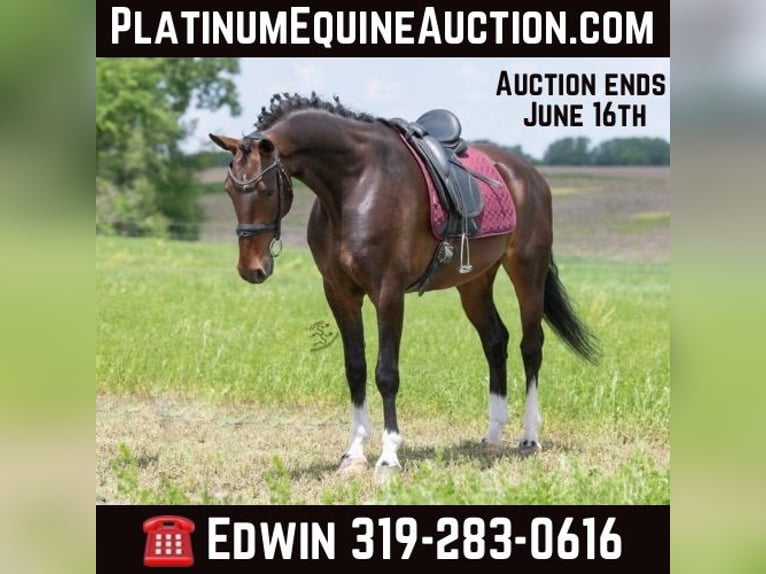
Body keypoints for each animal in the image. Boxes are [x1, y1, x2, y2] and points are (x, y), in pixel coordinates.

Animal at [209, 93, 599, 473]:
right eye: (228, 189)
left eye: (264, 190)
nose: (251, 268)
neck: (355, 185)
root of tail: (526, 173)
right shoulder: (339, 292)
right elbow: (355, 369)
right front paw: (353, 454)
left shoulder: (388, 292)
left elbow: (386, 373)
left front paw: (388, 457)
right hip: (474, 282)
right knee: (495, 341)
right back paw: (492, 435)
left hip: (527, 271)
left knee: (530, 346)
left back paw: (530, 437)